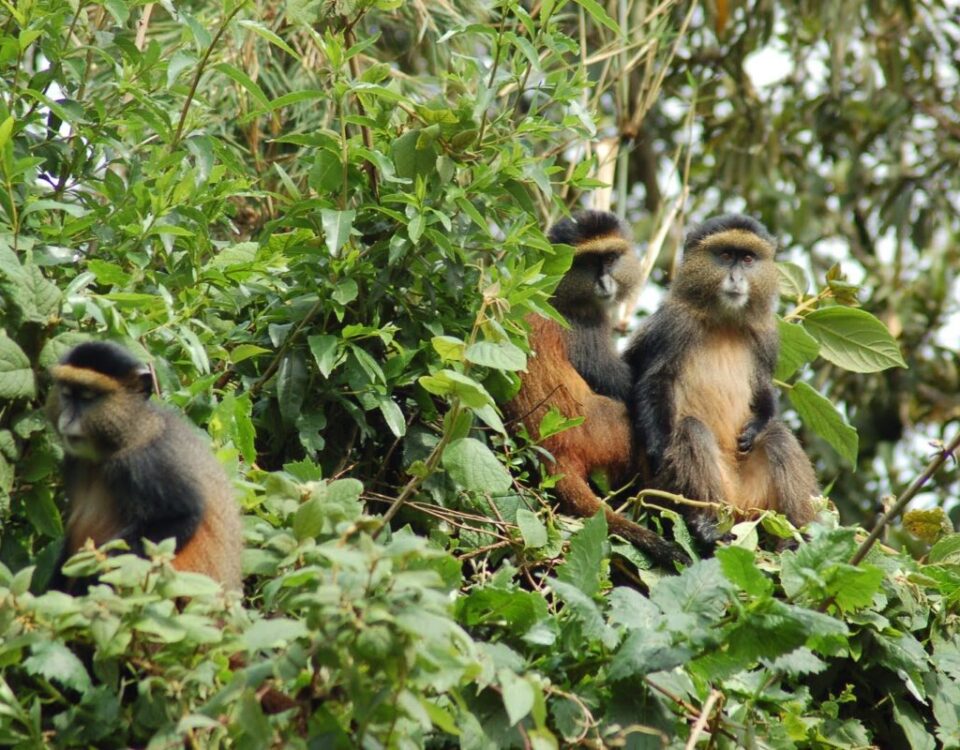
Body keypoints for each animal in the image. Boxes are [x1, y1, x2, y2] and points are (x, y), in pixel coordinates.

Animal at [503, 211, 689, 567]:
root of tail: (556, 451)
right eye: (590, 261)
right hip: (608, 435)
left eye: (611, 257)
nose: (605, 283)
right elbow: (625, 385)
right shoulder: (586, 326)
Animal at [625, 214, 819, 544]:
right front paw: (658, 451)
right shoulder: (672, 325)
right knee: (691, 430)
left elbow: (763, 389)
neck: (724, 321)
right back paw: (706, 525)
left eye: (748, 258)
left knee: (778, 436)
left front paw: (756, 426)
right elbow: (655, 381)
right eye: (726, 255)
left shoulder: (766, 336)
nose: (736, 278)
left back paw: (798, 537)